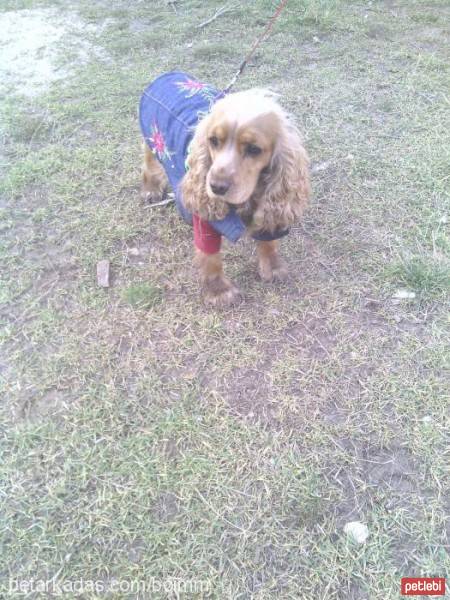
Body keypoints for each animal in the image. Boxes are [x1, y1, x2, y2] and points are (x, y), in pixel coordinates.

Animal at [140, 72, 310, 308]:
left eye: (254, 149)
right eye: (213, 141)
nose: (215, 186)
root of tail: (168, 75)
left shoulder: (270, 205)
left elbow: (268, 240)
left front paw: (273, 266)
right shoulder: (206, 219)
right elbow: (210, 256)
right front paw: (218, 290)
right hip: (152, 140)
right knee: (149, 163)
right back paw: (150, 189)